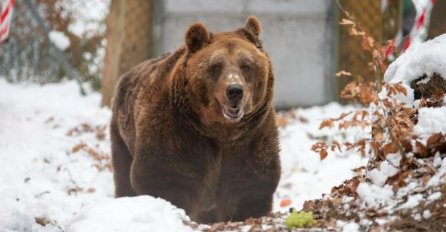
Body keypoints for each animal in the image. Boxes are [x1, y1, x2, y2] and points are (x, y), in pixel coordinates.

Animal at [110, 15, 280, 223]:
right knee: (123, 174)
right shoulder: (177, 132)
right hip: (122, 135)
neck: (220, 131)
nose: (234, 91)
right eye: (216, 66)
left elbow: (249, 183)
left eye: (246, 65)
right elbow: (165, 177)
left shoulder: (252, 134)